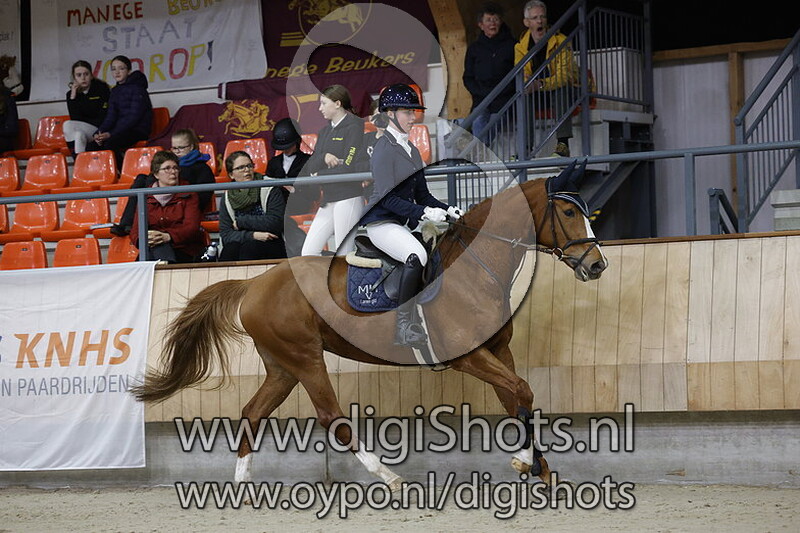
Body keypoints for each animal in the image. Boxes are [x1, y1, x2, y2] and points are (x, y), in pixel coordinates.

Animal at [131, 161, 608, 490]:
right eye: (568, 213)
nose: (597, 265)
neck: (475, 268)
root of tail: (255, 282)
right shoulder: (470, 356)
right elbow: (522, 392)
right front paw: (528, 463)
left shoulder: (498, 350)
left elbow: (518, 399)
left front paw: (539, 469)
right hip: (304, 358)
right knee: (332, 417)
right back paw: (389, 476)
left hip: (282, 366)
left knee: (252, 413)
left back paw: (241, 486)